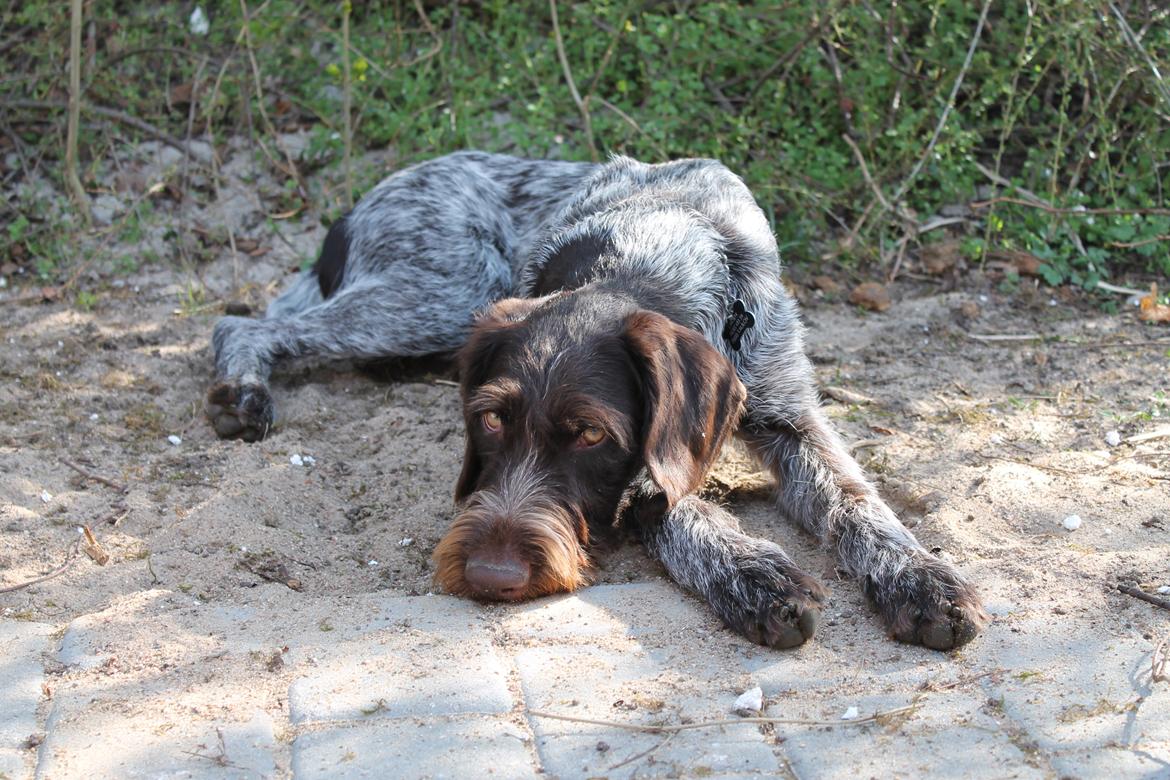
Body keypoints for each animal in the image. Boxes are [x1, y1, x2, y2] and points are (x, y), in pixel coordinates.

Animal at [208, 149, 987, 650]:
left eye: (589, 436)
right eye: (490, 421)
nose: (487, 576)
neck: (651, 249)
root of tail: (359, 204)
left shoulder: (788, 412)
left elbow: (857, 502)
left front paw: (921, 579)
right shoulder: (646, 475)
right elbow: (681, 511)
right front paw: (755, 574)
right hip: (441, 292)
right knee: (244, 322)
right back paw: (240, 390)